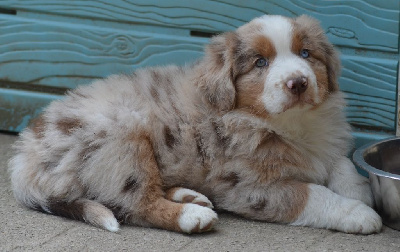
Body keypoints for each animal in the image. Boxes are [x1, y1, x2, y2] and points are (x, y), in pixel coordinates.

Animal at [8, 14, 382, 233]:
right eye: (260, 63)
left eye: (306, 54)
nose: (298, 83)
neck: (290, 123)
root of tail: (24, 152)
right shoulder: (247, 187)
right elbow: (310, 194)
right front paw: (359, 213)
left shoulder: (326, 142)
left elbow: (339, 162)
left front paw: (361, 190)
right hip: (121, 138)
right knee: (134, 204)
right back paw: (191, 215)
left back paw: (190, 195)